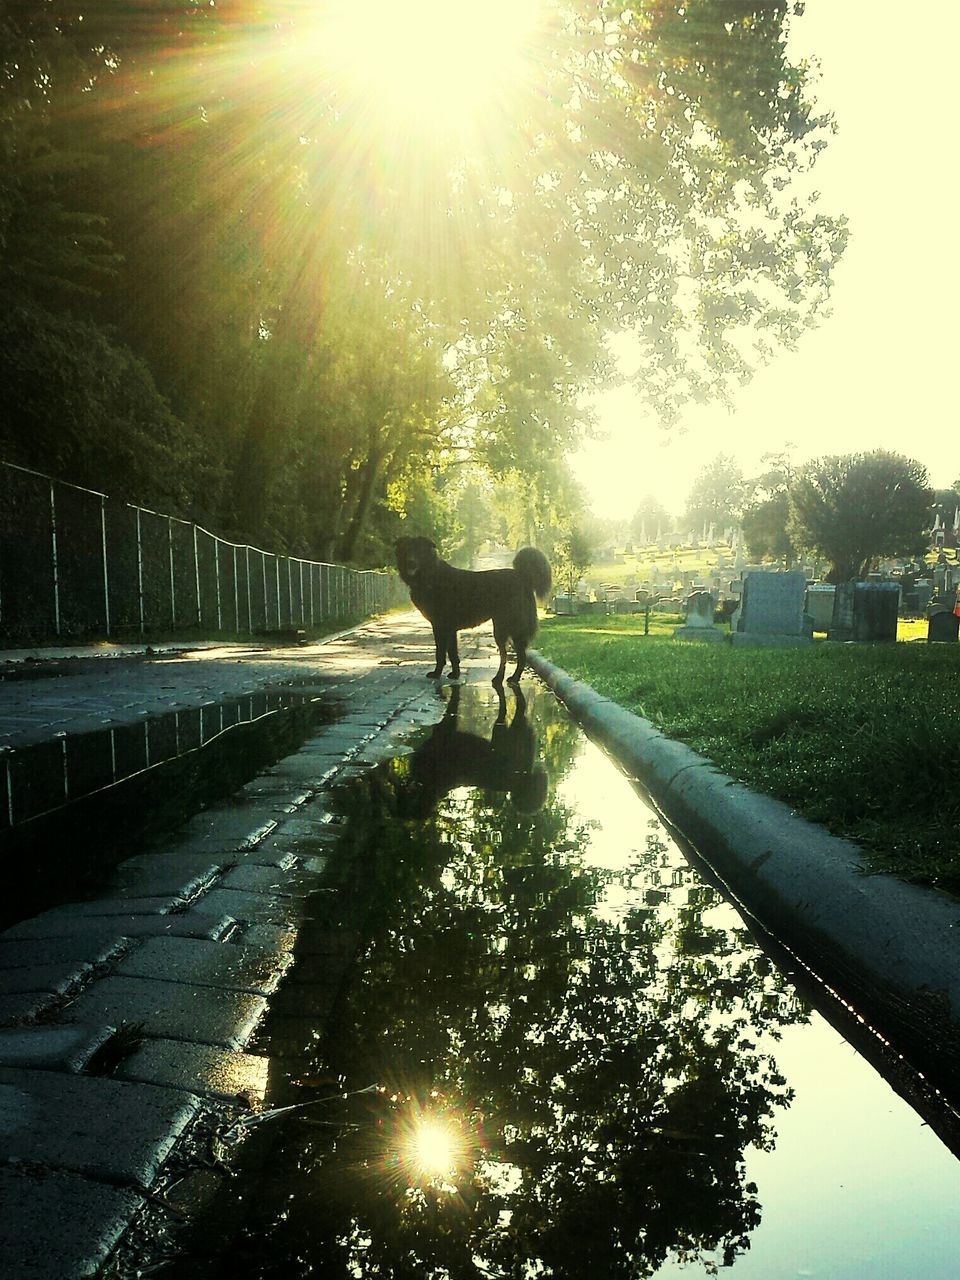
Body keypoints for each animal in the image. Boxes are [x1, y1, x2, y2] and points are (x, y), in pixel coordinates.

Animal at [394, 535, 552, 686]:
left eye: (419, 550)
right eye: (407, 550)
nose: (411, 562)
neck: (430, 574)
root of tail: (523, 576)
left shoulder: (440, 626)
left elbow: (440, 653)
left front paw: (437, 673)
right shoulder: (449, 629)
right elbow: (452, 654)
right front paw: (455, 674)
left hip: (505, 629)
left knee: (515, 655)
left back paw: (510, 678)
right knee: (509, 654)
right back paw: (503, 678)